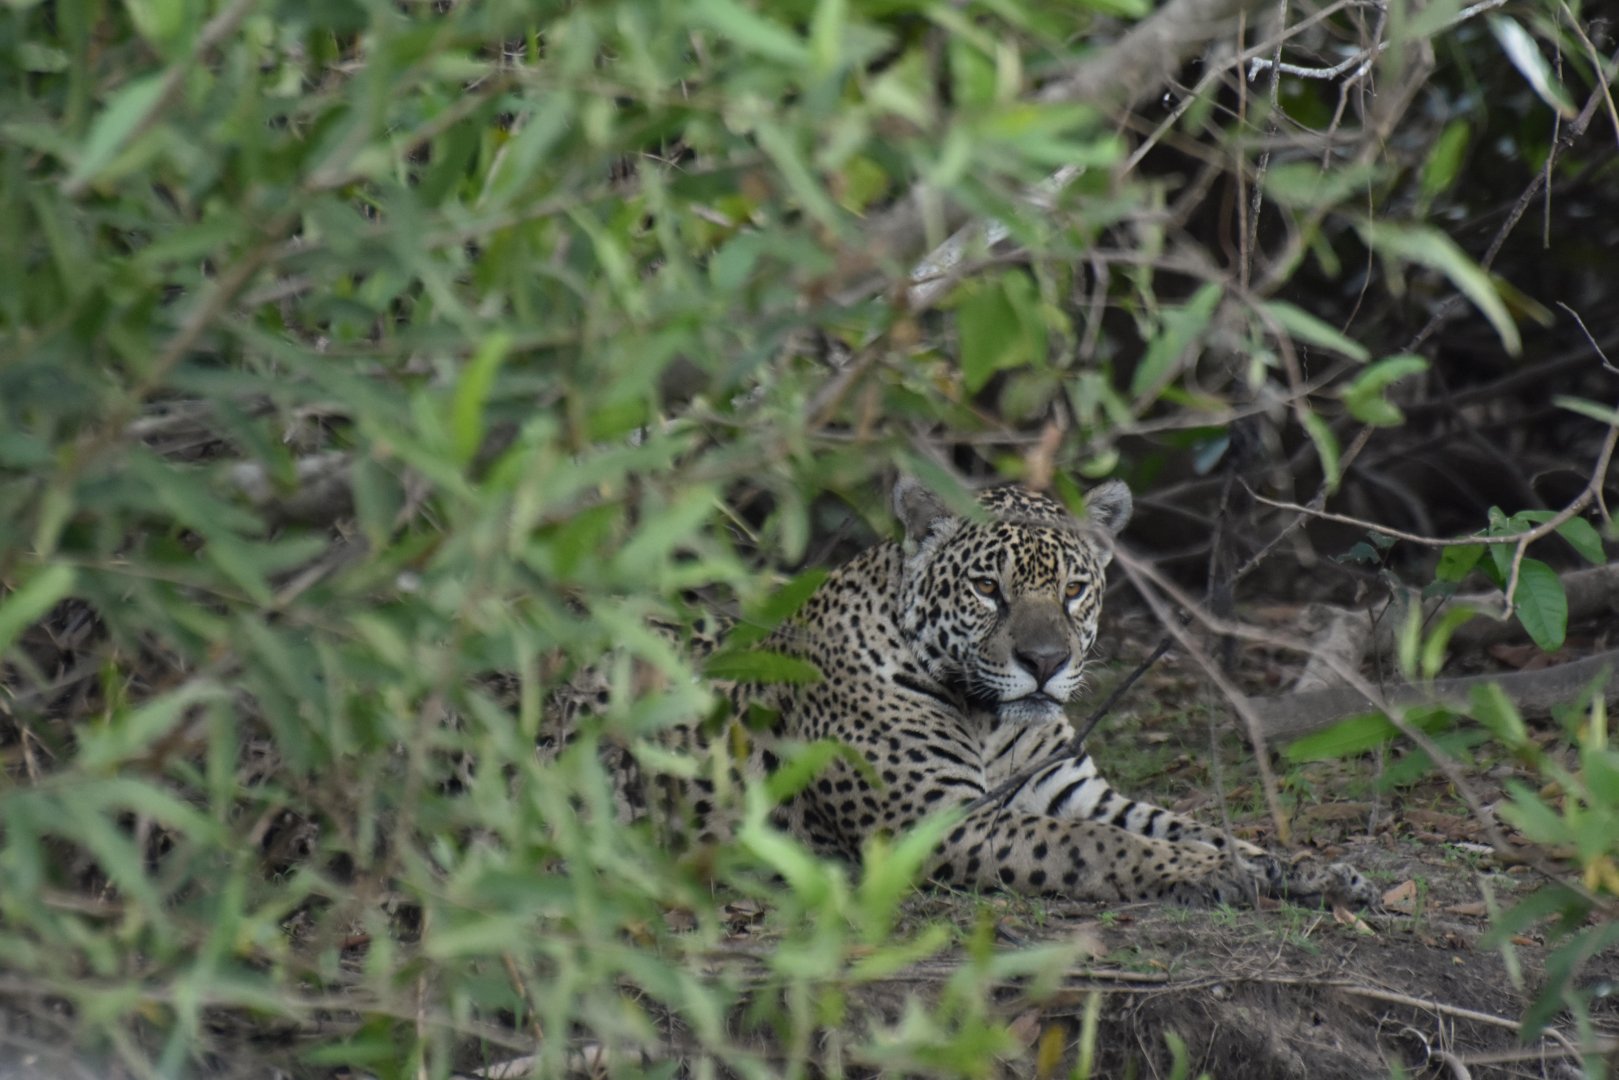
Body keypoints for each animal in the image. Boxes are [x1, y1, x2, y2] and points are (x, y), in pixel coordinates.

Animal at [558, 476, 1375, 909]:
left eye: (1074, 590)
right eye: (987, 588)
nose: (1044, 661)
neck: (994, 724)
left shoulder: (1069, 790)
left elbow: (1182, 825)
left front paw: (1303, 868)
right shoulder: (936, 820)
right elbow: (1100, 847)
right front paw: (1220, 874)